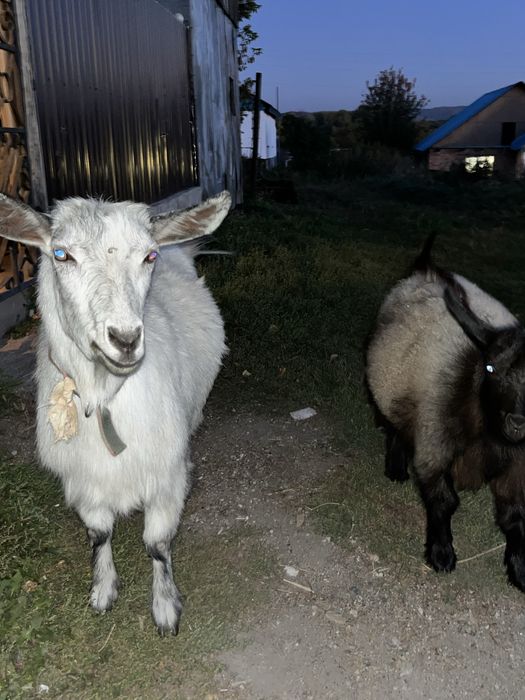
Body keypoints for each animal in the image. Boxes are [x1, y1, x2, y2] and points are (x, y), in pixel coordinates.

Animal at [0, 192, 231, 634]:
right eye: (61, 254)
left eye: (148, 256)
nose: (125, 339)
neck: (103, 395)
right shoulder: (83, 478)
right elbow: (99, 533)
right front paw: (103, 591)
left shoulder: (165, 473)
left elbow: (157, 544)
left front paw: (165, 608)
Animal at [366, 241, 525, 590]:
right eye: (490, 367)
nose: (517, 422)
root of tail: (427, 268)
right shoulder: (434, 443)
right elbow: (443, 501)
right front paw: (441, 554)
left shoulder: (518, 466)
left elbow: (515, 514)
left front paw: (521, 568)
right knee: (395, 428)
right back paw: (396, 468)